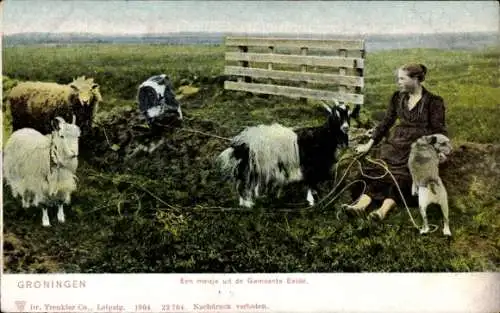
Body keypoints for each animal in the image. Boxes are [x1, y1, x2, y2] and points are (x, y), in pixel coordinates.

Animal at [218, 100, 360, 207]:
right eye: (336, 116)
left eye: (349, 115)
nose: (345, 127)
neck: (324, 135)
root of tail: (243, 144)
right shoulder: (311, 165)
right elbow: (310, 181)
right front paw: (312, 201)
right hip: (251, 165)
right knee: (244, 183)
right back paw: (247, 203)